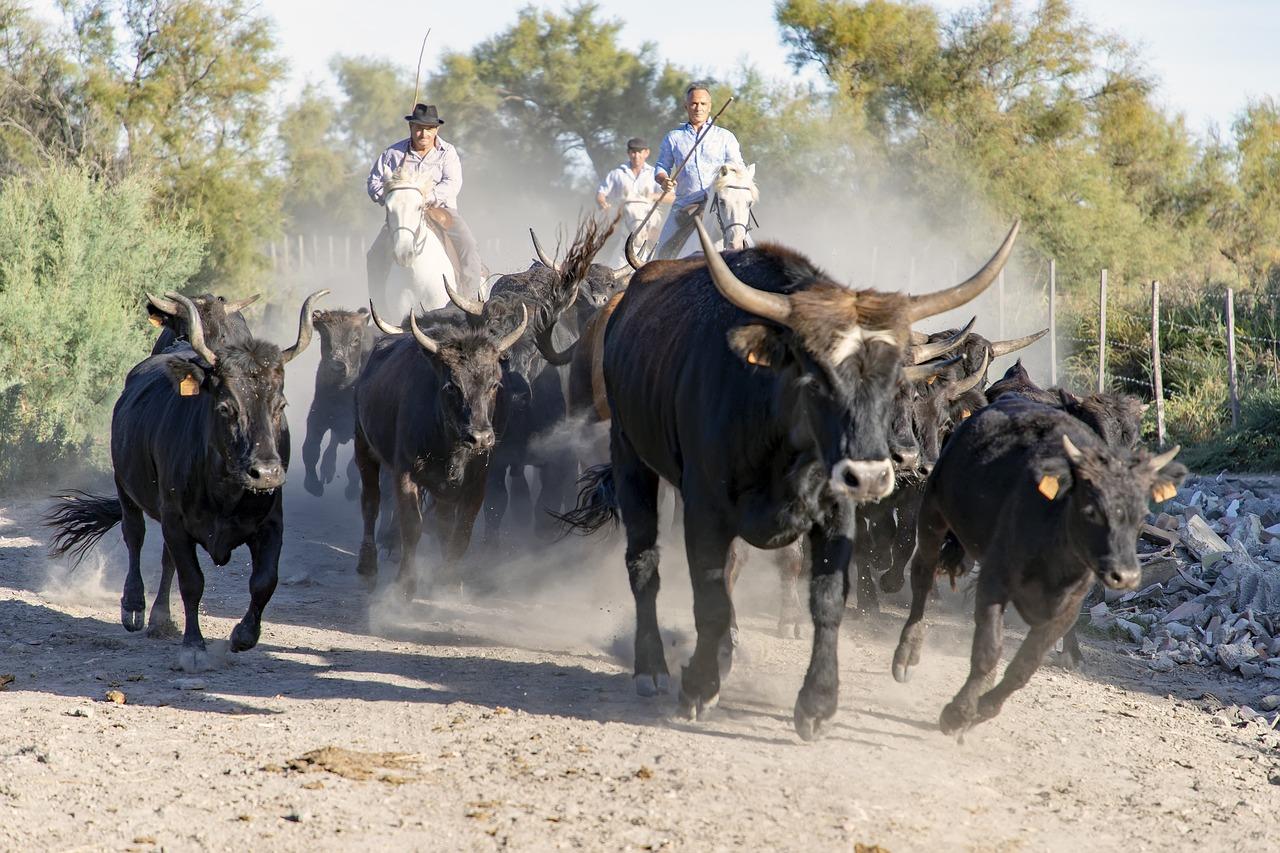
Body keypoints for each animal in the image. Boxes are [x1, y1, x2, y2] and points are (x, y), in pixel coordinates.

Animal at [46, 289, 325, 666]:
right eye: (226, 407)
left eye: (279, 406)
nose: (265, 473)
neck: (225, 489)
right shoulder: (176, 521)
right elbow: (192, 582)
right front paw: (193, 646)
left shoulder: (270, 523)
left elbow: (264, 581)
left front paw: (244, 635)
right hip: (126, 488)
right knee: (134, 537)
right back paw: (135, 607)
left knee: (166, 559)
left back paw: (160, 618)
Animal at [563, 219, 1018, 737]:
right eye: (818, 375)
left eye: (900, 387)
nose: (899, 462)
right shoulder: (705, 508)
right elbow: (711, 593)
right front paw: (701, 685)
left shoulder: (836, 512)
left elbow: (824, 593)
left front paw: (817, 700)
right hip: (630, 455)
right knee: (644, 562)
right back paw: (652, 668)